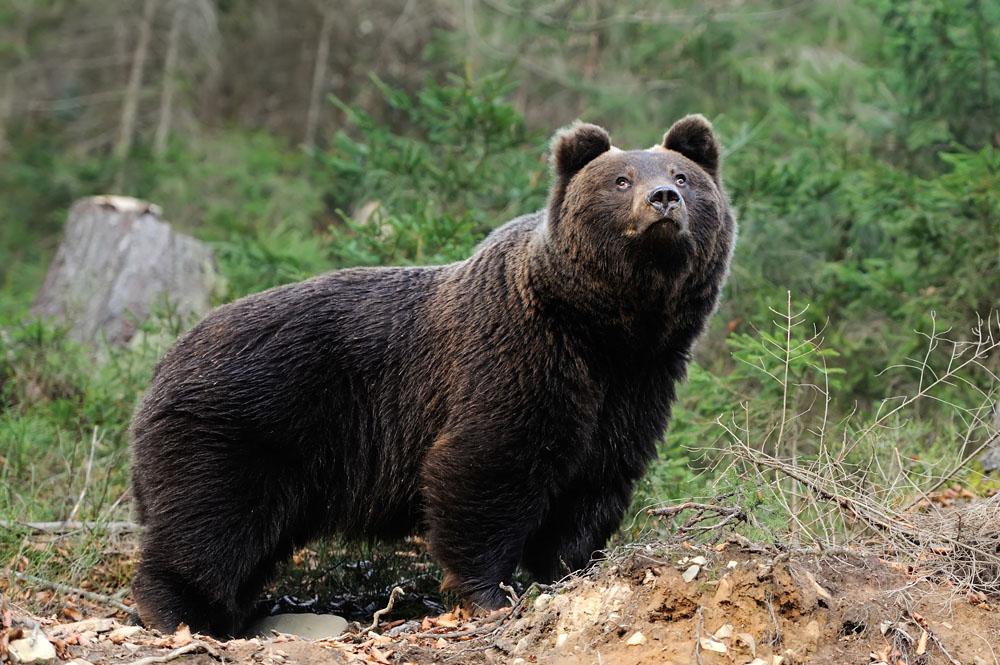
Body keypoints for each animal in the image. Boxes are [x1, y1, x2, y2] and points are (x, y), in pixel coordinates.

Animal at [131, 114, 736, 632]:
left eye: (682, 175)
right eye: (620, 179)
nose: (663, 199)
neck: (603, 329)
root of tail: (163, 363)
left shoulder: (634, 388)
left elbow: (594, 482)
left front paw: (570, 569)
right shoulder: (516, 361)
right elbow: (485, 467)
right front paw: (491, 591)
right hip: (239, 426)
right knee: (210, 523)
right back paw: (185, 613)